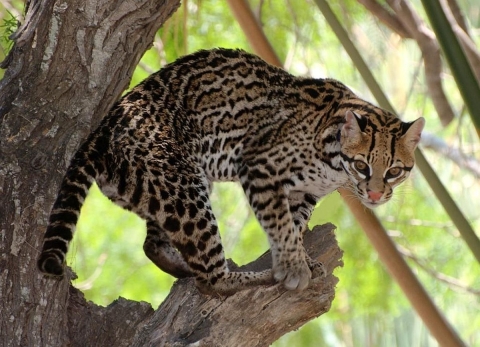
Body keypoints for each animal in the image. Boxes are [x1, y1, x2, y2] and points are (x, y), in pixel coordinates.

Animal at [36, 47, 424, 294]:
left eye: (394, 171)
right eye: (362, 166)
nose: (375, 194)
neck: (333, 165)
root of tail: (101, 129)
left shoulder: (302, 193)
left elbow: (294, 224)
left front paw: (299, 257)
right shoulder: (259, 166)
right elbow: (282, 225)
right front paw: (293, 267)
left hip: (167, 182)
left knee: (153, 244)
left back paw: (183, 267)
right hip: (183, 185)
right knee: (211, 280)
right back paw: (252, 277)